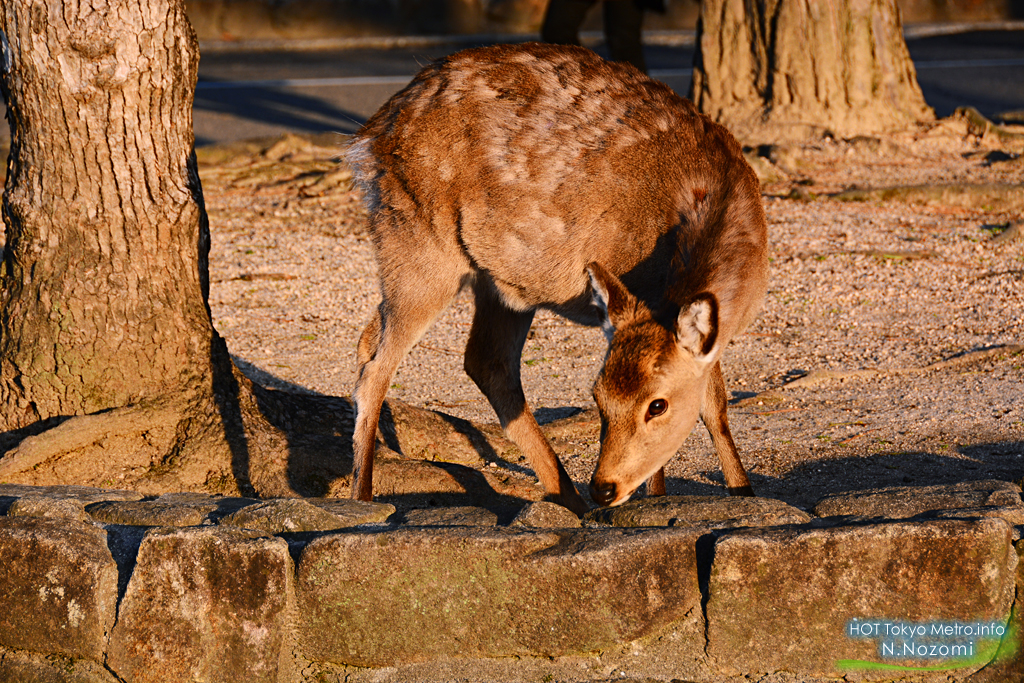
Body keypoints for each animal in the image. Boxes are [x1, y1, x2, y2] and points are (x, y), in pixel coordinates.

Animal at [346, 42, 770, 516]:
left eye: (657, 405)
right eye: (597, 398)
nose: (604, 487)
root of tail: (369, 136)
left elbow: (715, 405)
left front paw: (745, 493)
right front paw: (657, 501)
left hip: (498, 281)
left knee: (480, 359)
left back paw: (566, 495)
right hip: (417, 241)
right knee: (377, 361)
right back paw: (363, 496)